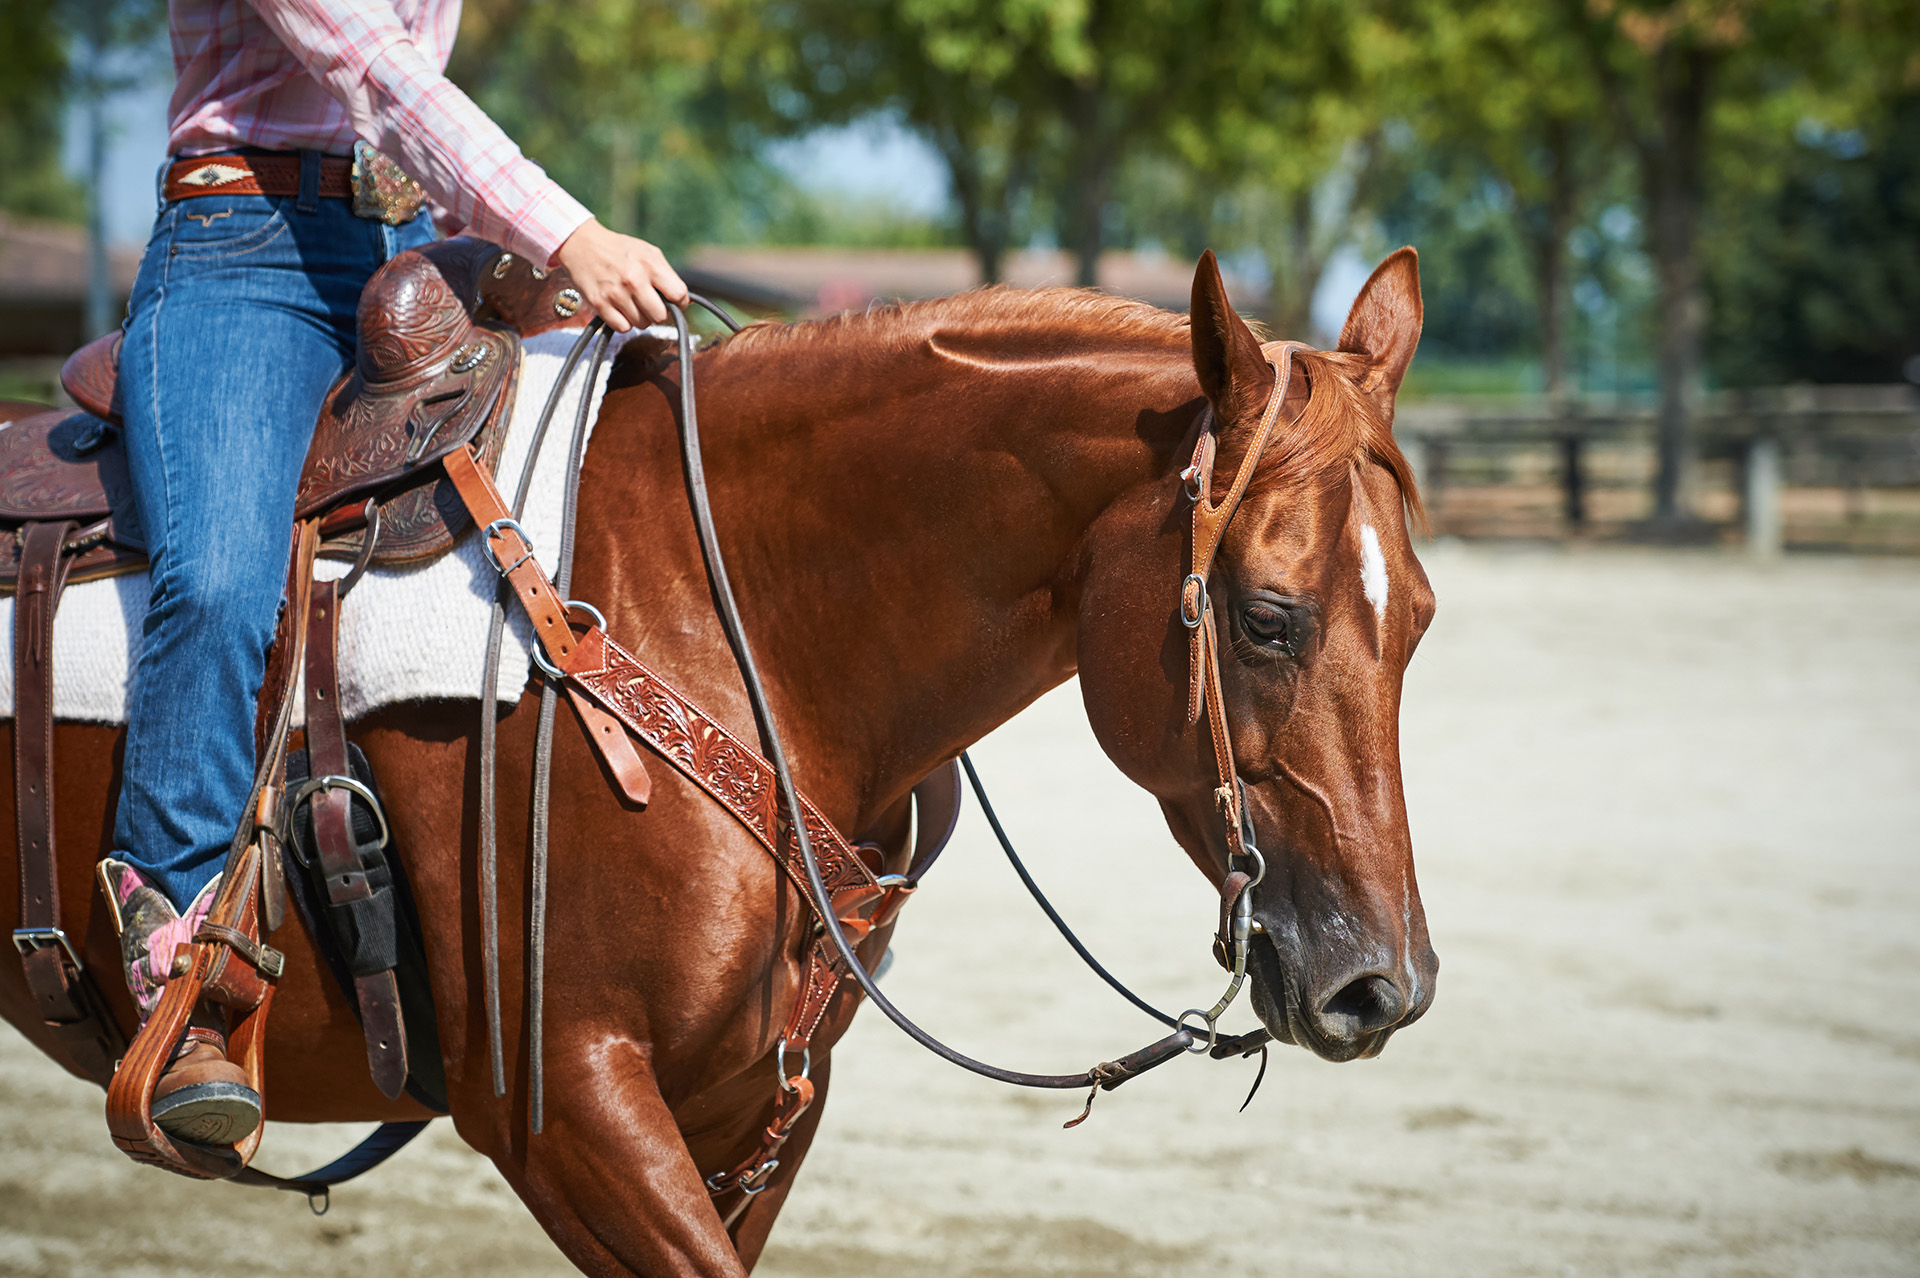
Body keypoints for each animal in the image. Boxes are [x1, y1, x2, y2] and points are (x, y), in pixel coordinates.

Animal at [0, 247, 1437, 1276]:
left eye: (1420, 616)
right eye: (1266, 616)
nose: (1387, 986)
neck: (719, 615)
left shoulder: (757, 1106)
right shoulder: (566, 1106)